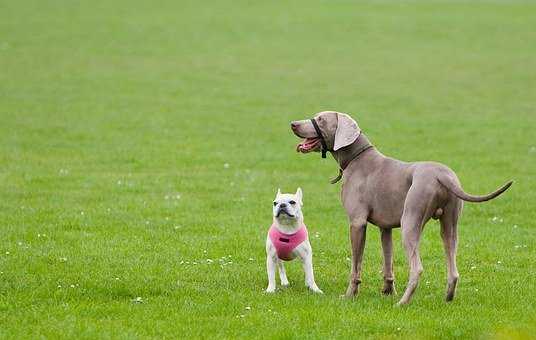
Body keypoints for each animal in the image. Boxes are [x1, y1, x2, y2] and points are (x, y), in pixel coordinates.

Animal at [292, 111, 512, 306]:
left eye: (321, 119)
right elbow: (388, 260)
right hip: (450, 225)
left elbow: (356, 265)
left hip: (410, 222)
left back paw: (403, 302)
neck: (357, 158)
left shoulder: (357, 223)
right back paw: (447, 298)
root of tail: (443, 176)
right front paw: (387, 291)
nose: (292, 124)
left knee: (417, 268)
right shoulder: (385, 227)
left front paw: (350, 295)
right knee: (453, 267)